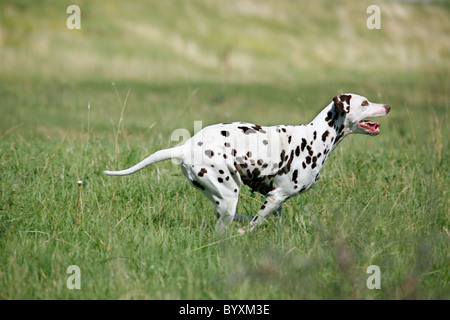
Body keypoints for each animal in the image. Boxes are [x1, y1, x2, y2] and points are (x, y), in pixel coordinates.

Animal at [103, 93, 390, 232]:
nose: (387, 106)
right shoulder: (276, 197)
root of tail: (185, 147)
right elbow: (254, 224)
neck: (315, 136)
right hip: (229, 195)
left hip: (221, 197)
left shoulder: (277, 202)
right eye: (365, 102)